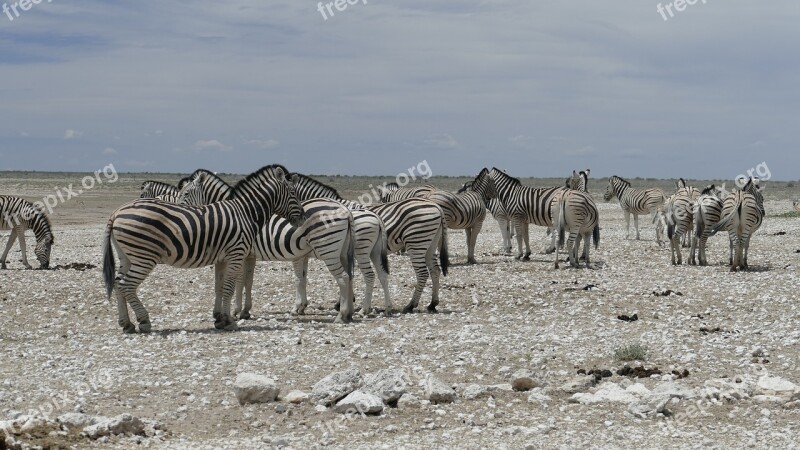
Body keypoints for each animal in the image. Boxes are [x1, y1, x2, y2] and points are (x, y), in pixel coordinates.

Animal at [103, 163, 306, 332]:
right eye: (294, 194)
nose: (303, 219)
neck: (245, 212)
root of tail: (116, 212)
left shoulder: (222, 259)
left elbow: (219, 287)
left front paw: (220, 319)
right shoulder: (236, 254)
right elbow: (230, 288)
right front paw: (230, 321)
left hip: (127, 256)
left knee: (117, 283)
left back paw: (126, 323)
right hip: (144, 257)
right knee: (126, 285)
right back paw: (144, 321)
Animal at [181, 168, 360, 320]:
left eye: (186, 193)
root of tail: (345, 209)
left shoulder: (240, 253)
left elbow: (239, 281)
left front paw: (235, 310)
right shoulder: (249, 255)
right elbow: (248, 281)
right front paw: (245, 310)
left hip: (328, 249)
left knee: (343, 277)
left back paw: (342, 314)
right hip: (342, 252)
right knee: (349, 276)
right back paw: (349, 312)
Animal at [290, 174, 450, 314]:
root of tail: (436, 206)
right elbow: (304, 277)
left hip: (416, 242)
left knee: (422, 273)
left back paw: (410, 305)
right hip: (429, 244)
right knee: (435, 270)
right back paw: (432, 304)